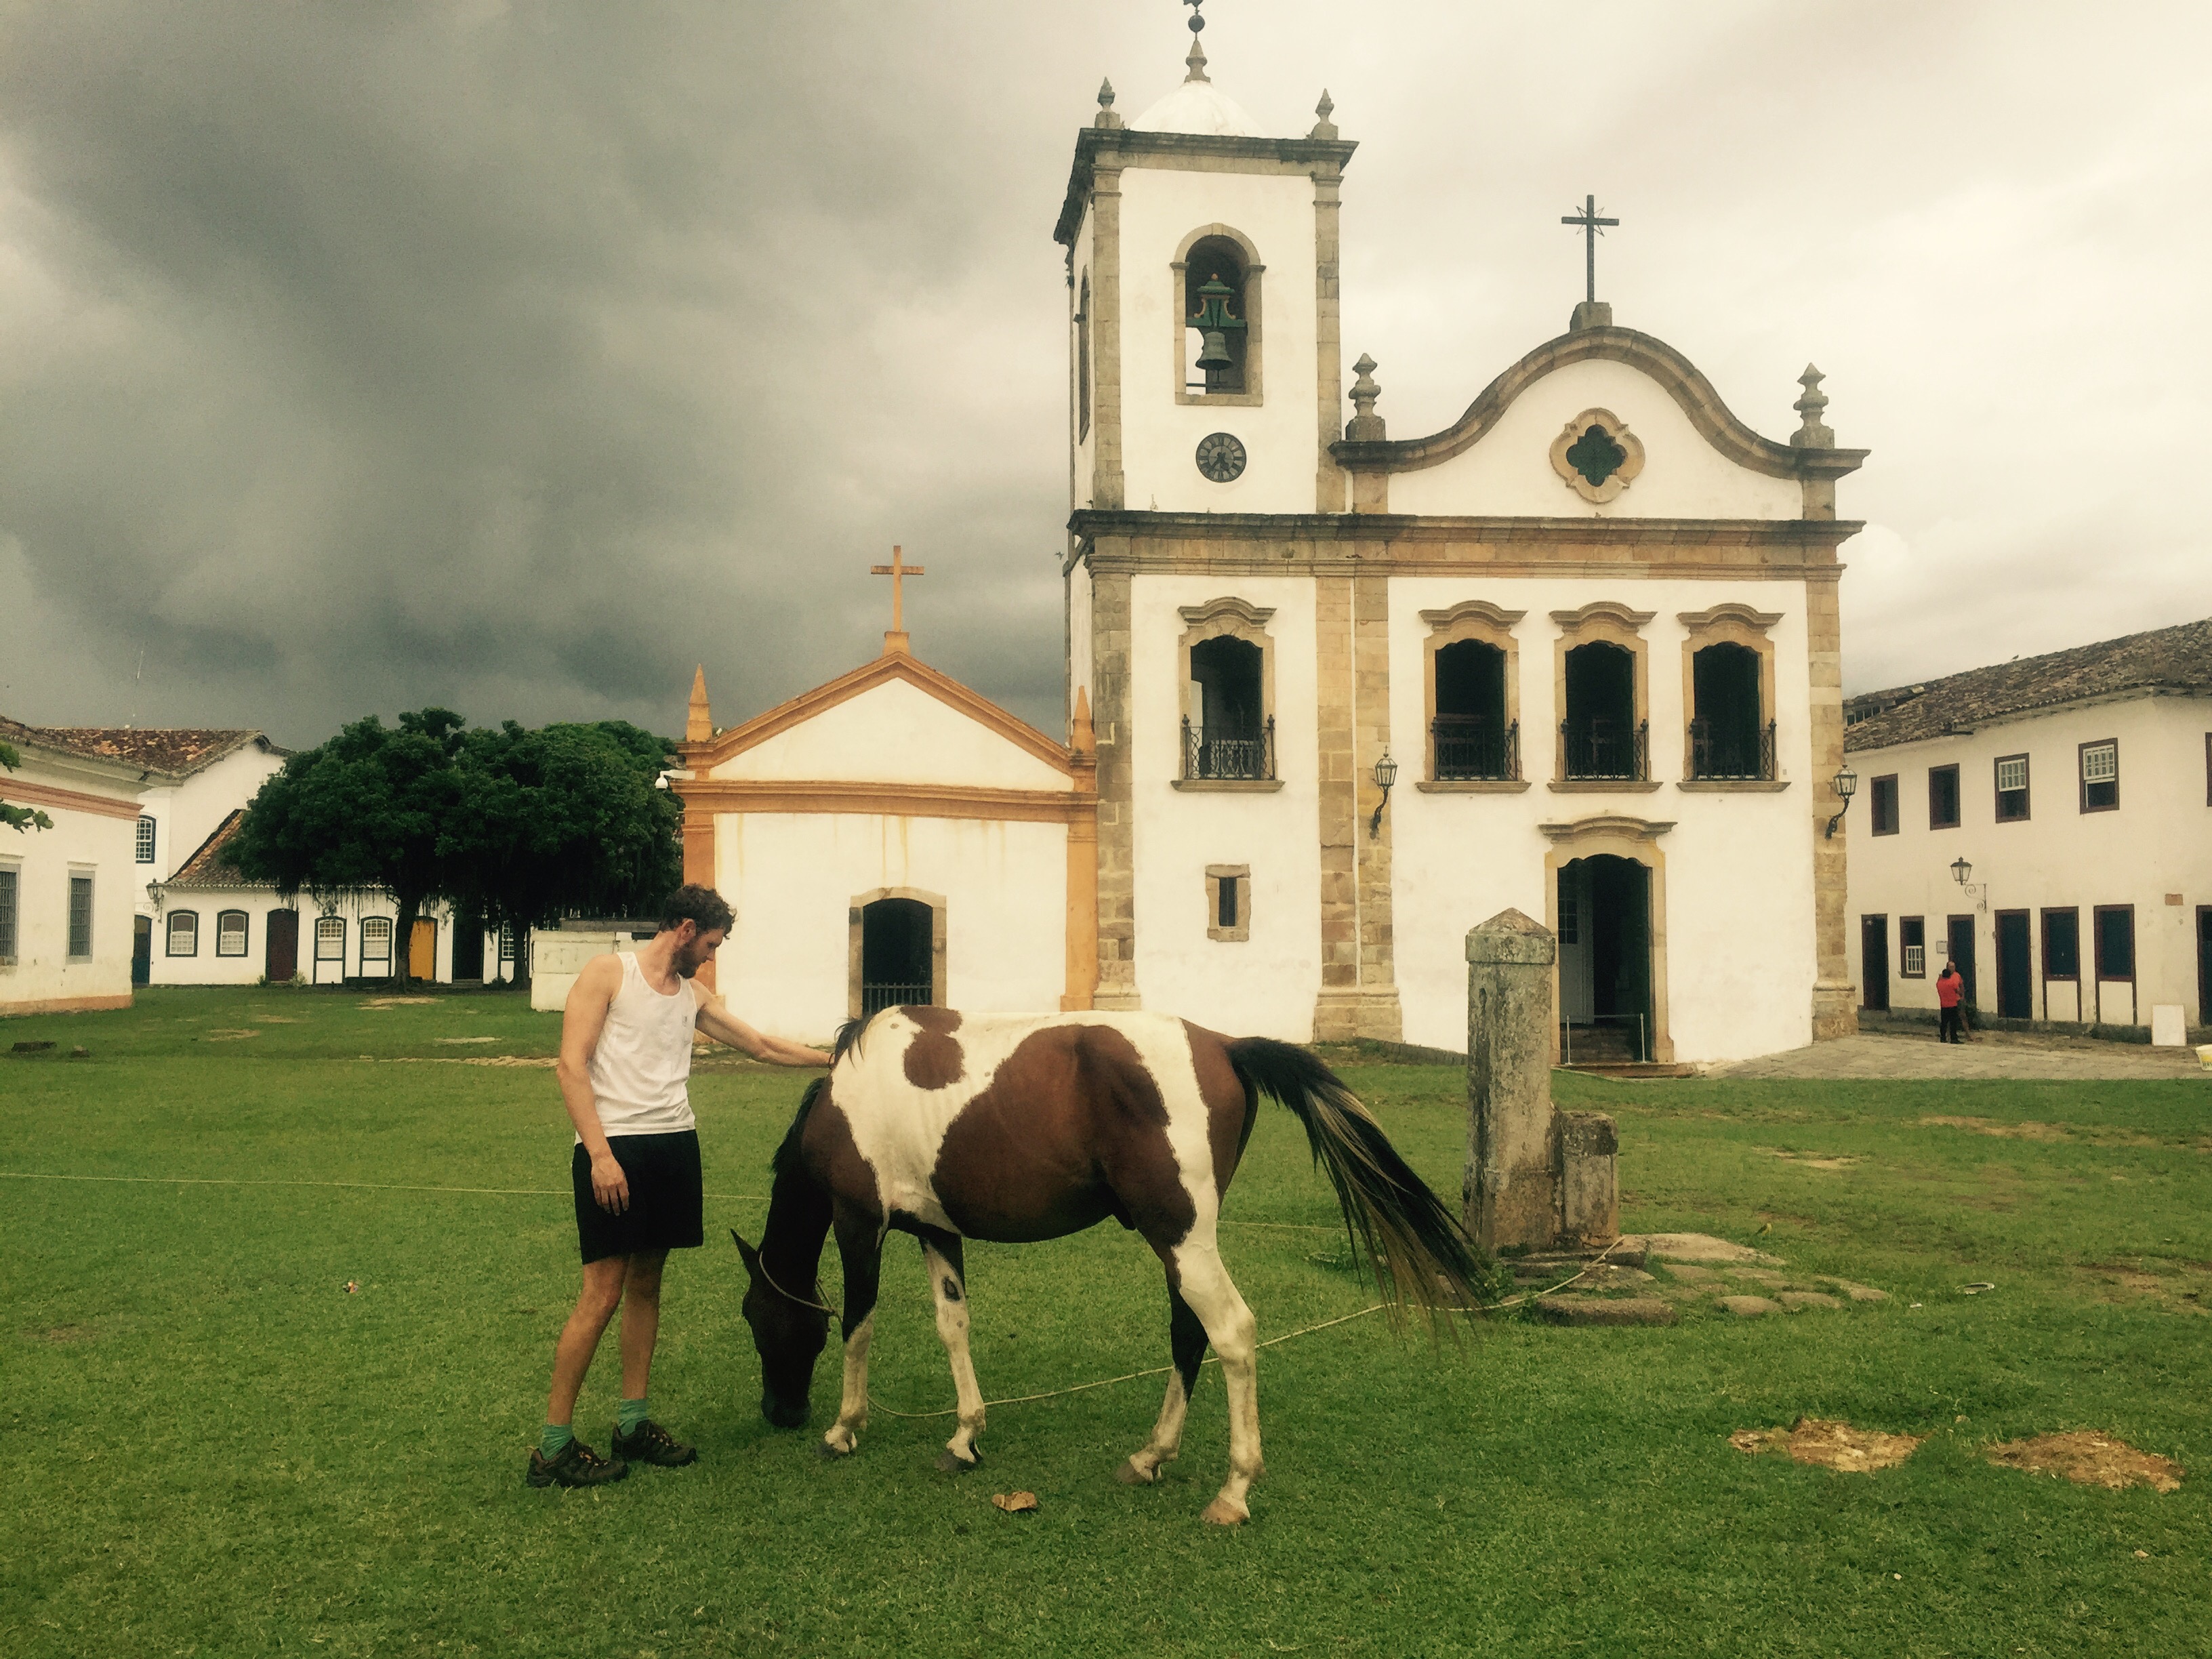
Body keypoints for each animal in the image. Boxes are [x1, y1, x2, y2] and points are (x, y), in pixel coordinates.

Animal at [734, 1008, 1495, 1530]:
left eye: (754, 1317)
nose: (780, 1412)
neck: (851, 1093)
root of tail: (1224, 1045)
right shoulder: (937, 1230)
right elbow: (954, 1326)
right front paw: (965, 1438)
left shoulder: (859, 1222)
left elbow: (857, 1326)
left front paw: (843, 1430)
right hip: (1180, 1246)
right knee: (1189, 1336)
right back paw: (1150, 1457)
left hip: (1182, 1239)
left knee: (1232, 1334)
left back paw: (1233, 1492)